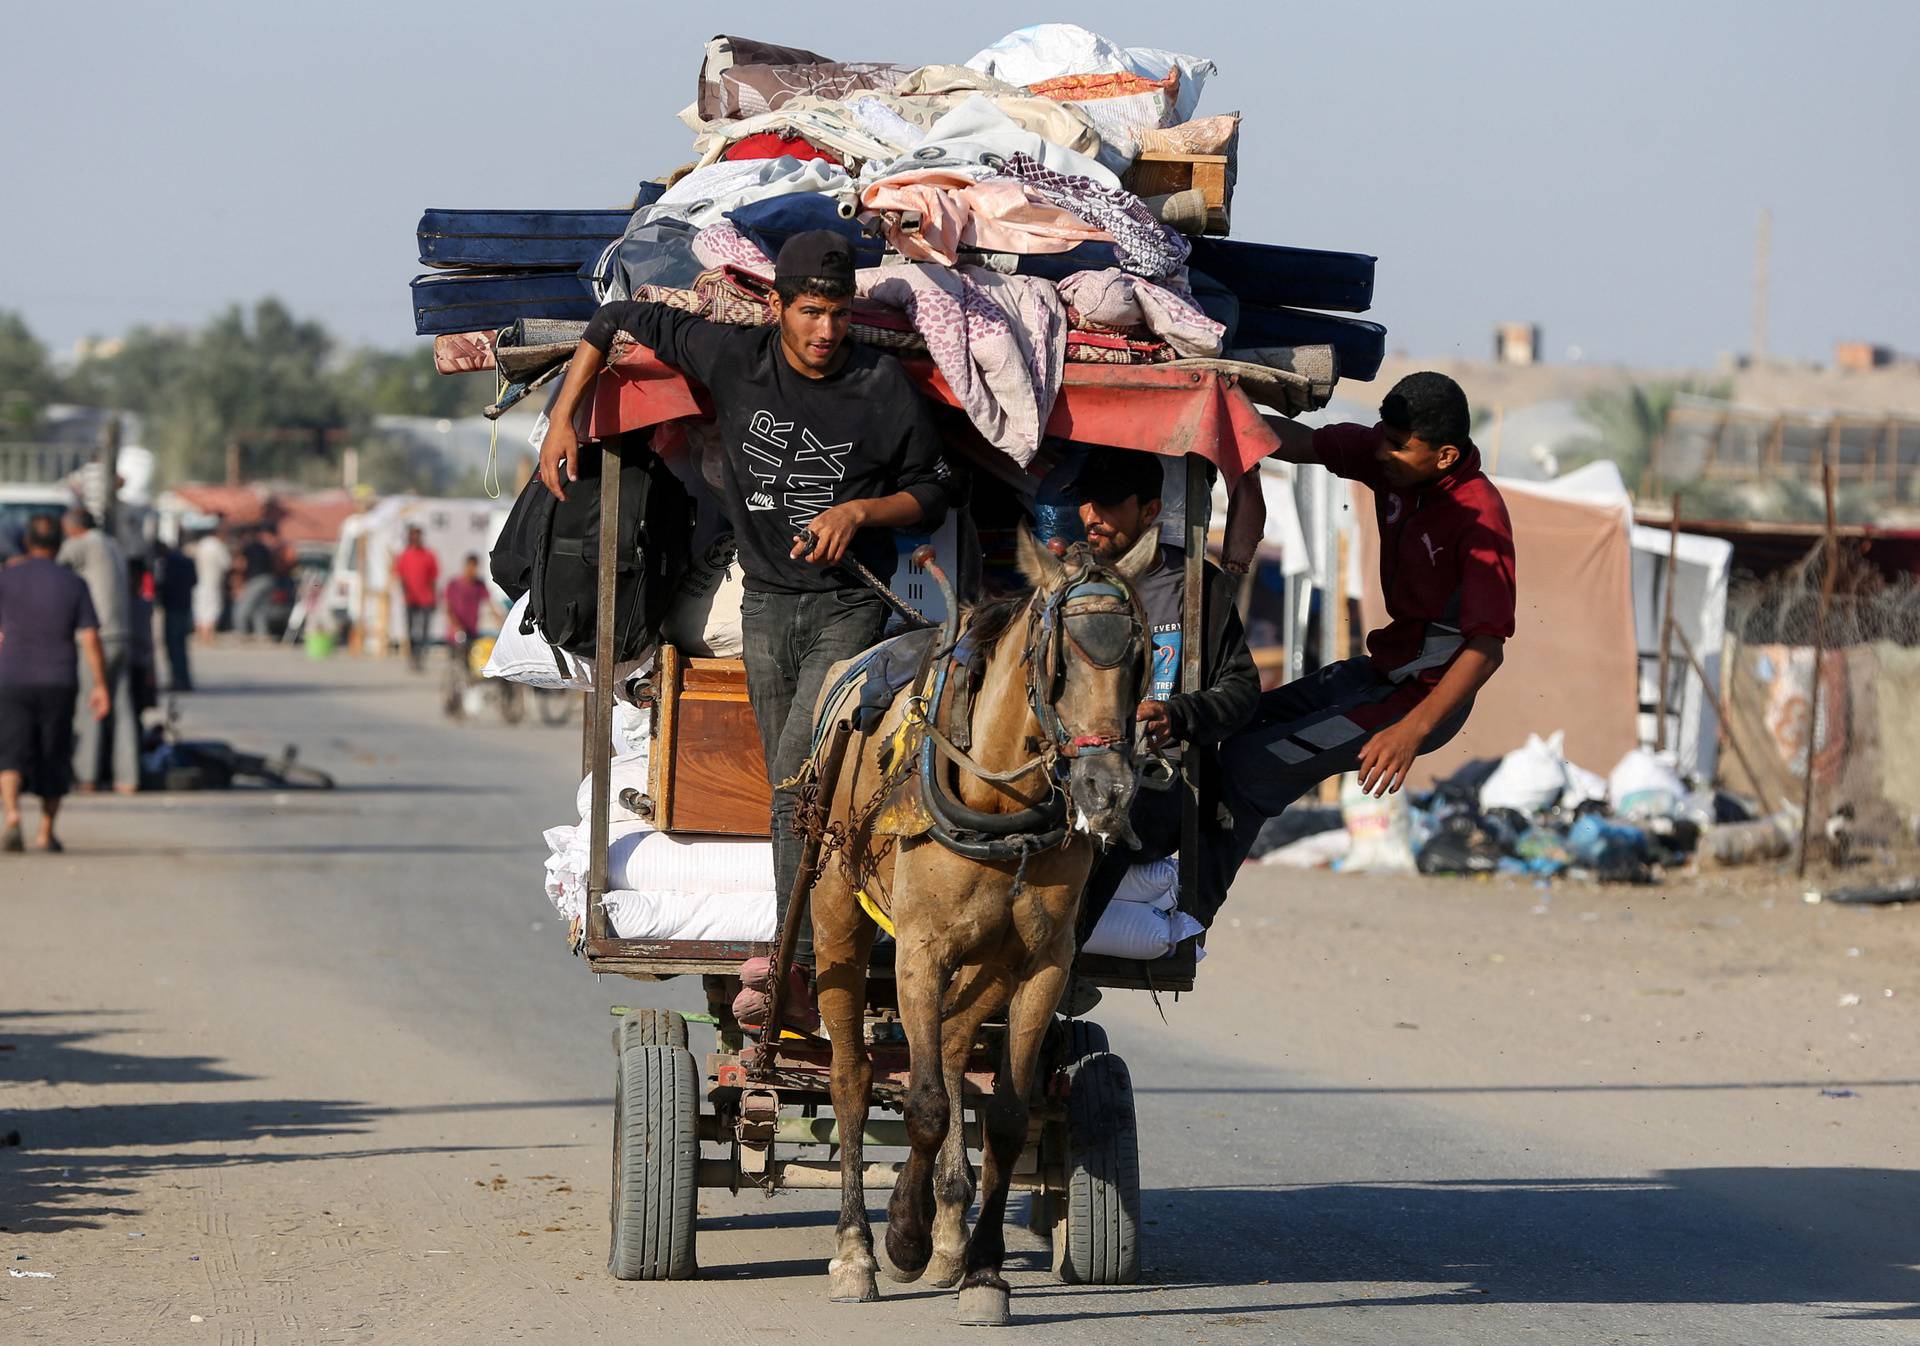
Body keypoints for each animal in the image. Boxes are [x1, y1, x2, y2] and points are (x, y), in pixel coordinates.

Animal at [798, 526, 1152, 1321]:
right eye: (1057, 660)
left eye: (1141, 658)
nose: (1108, 792)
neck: (1001, 809)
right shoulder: (918, 952)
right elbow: (925, 1106)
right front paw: (903, 1235)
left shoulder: (1043, 962)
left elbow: (1010, 1116)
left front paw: (983, 1270)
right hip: (836, 918)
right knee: (853, 1078)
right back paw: (857, 1249)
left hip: (989, 959)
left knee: (959, 1045)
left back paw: (951, 1231)